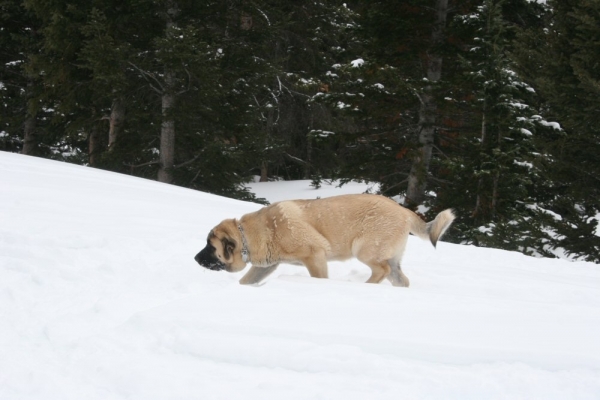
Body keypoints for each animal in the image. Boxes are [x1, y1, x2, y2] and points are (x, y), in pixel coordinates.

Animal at [195, 194, 452, 288]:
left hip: (364, 250)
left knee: (381, 270)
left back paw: (364, 287)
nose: (195, 258)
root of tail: (404, 211)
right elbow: (246, 280)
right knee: (400, 279)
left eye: (210, 246)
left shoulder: (314, 255)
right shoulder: (266, 266)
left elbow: (318, 278)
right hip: (391, 260)